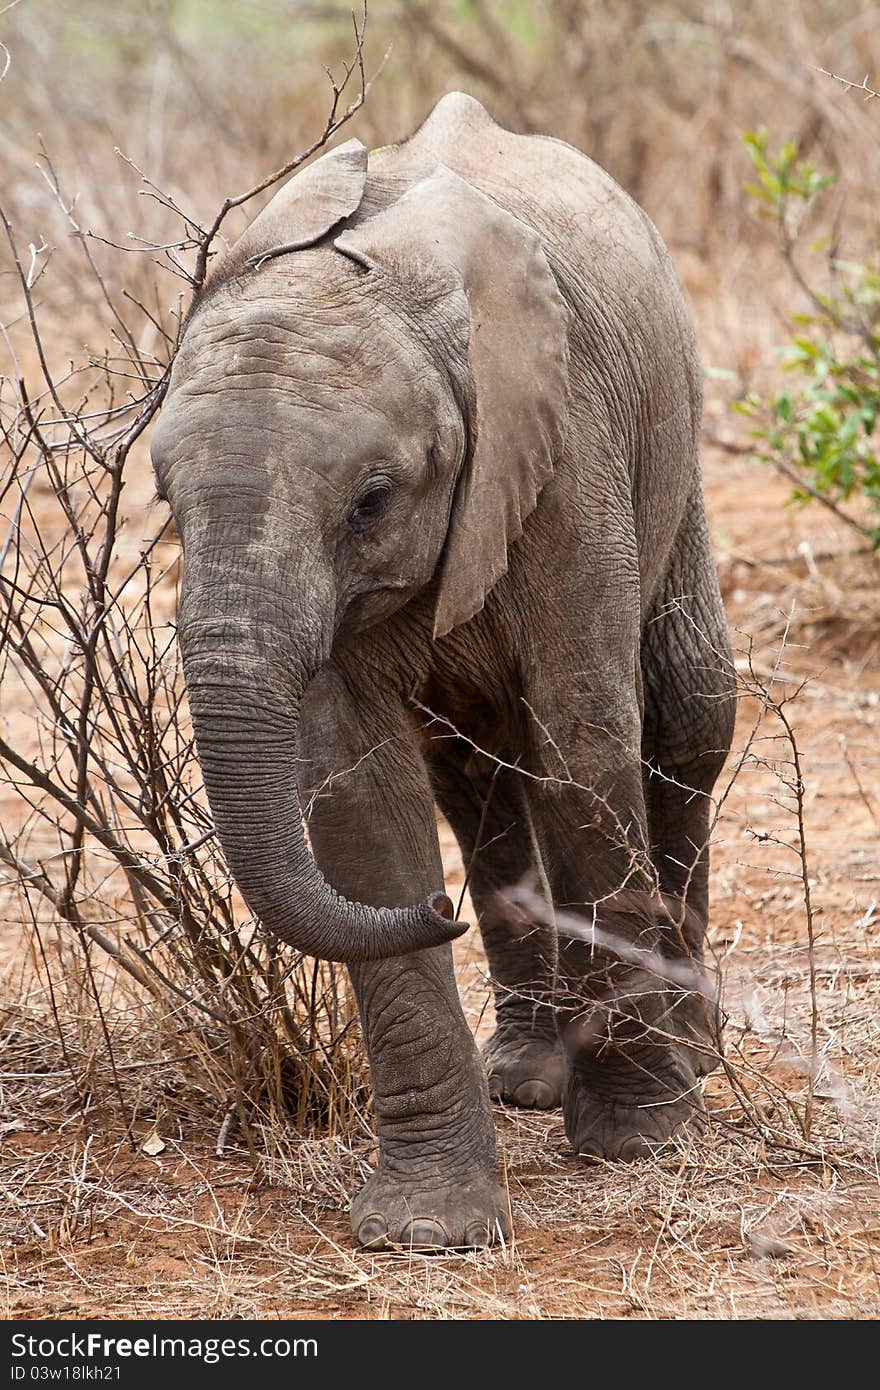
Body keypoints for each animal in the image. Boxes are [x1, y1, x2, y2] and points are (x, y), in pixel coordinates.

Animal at [152, 95, 734, 1251]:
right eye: (163, 500)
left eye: (373, 500)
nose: (444, 912)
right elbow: (355, 793)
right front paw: (427, 1230)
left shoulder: (565, 450)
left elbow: (583, 739)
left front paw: (639, 1137)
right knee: (473, 779)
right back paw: (528, 1075)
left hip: (672, 441)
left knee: (686, 713)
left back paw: (692, 1049)